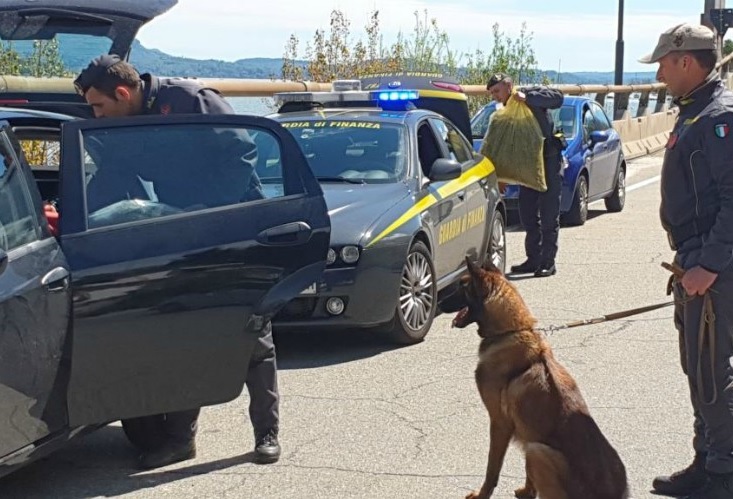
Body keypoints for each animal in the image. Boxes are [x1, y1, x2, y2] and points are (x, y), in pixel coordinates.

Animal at [448, 258, 628, 499]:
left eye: (462, 285)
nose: (435, 298)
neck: (512, 331)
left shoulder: (499, 423)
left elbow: (492, 468)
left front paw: (482, 494)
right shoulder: (526, 431)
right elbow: (526, 471)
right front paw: (527, 491)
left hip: (539, 451)